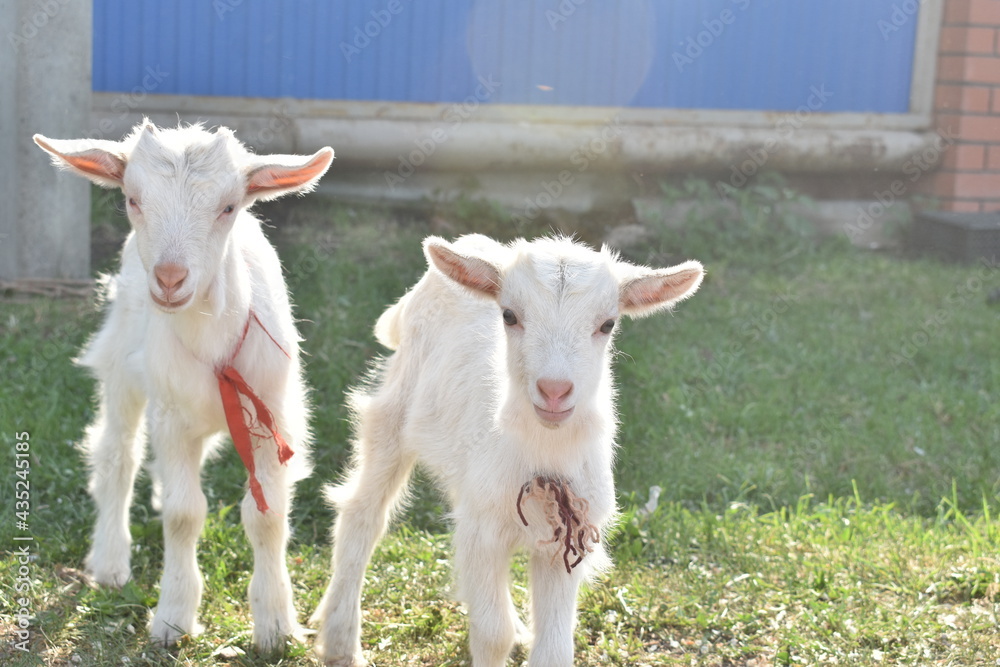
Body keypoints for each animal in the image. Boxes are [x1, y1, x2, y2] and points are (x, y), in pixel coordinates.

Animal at [34, 120, 333, 650]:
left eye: (228, 207)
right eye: (133, 199)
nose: (170, 280)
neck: (212, 346)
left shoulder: (270, 416)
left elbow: (267, 514)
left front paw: (275, 626)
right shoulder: (171, 415)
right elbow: (184, 514)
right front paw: (173, 617)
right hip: (121, 365)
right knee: (117, 454)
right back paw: (109, 562)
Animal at [312, 234, 703, 666]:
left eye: (607, 324)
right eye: (510, 315)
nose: (554, 390)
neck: (542, 454)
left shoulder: (566, 539)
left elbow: (553, 648)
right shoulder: (483, 534)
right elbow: (491, 633)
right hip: (394, 409)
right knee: (364, 512)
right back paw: (341, 644)